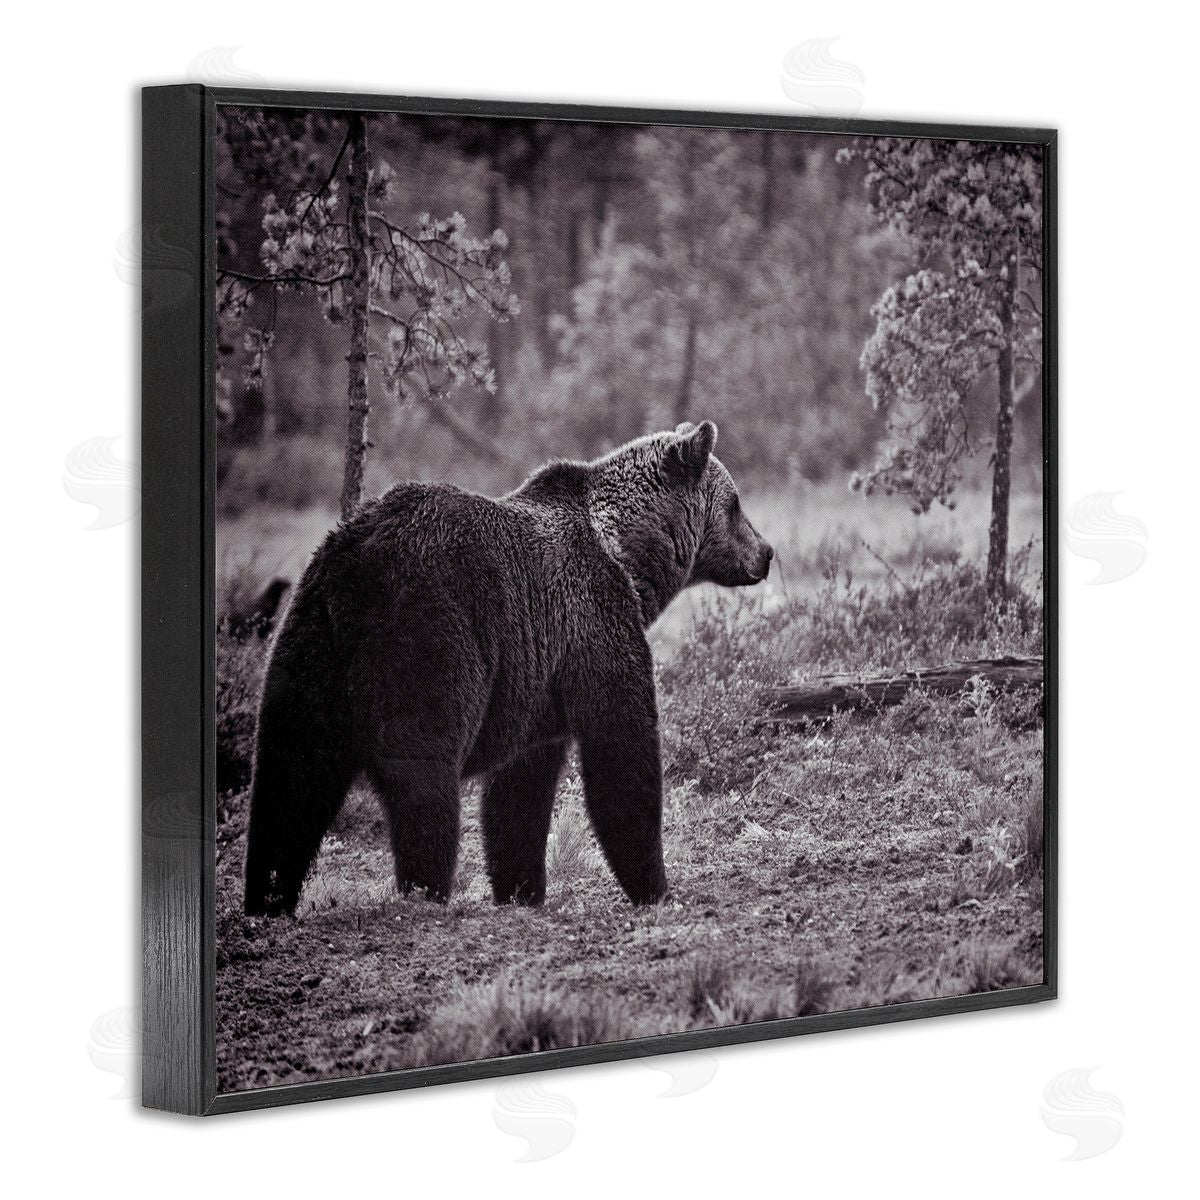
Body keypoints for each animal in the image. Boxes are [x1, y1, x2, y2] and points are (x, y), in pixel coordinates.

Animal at [243, 420, 773, 916]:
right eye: (736, 504)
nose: (766, 552)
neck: (627, 556)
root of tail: (356, 568)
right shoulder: (594, 624)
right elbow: (621, 749)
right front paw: (656, 887)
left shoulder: (537, 683)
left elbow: (519, 793)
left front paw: (522, 890)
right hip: (428, 636)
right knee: (421, 776)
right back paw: (425, 891)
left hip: (309, 642)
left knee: (289, 777)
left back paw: (267, 899)